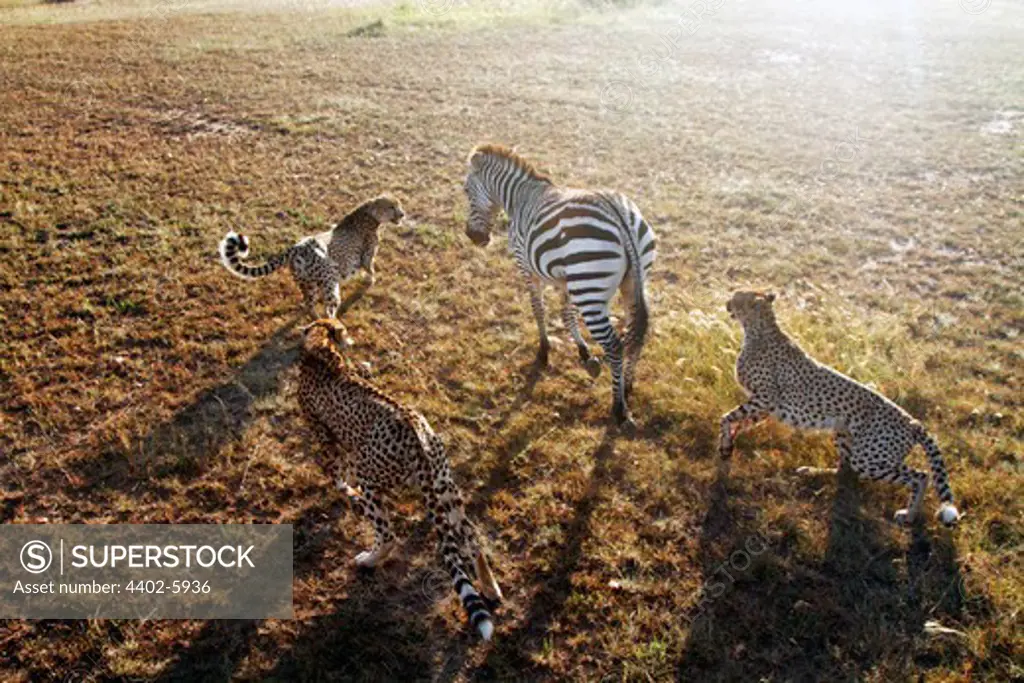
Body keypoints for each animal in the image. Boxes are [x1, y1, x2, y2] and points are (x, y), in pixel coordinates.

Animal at [217, 194, 403, 317]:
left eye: (398, 205)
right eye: (391, 206)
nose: (402, 214)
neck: (370, 215)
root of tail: (297, 247)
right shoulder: (366, 257)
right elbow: (370, 269)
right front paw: (371, 281)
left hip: (307, 283)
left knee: (309, 305)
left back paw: (317, 321)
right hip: (329, 281)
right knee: (329, 308)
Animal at [296, 317, 503, 638]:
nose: (351, 341)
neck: (323, 348)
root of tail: (416, 433)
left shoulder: (326, 438)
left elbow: (337, 473)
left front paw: (346, 491)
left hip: (372, 478)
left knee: (388, 534)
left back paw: (369, 559)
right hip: (445, 488)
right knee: (471, 536)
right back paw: (490, 587)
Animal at [462, 144, 655, 428]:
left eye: (466, 191)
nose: (473, 237)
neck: (519, 196)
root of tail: (618, 215)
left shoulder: (527, 268)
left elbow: (538, 308)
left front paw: (544, 351)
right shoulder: (566, 278)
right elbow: (566, 314)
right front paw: (584, 354)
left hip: (590, 291)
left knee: (614, 345)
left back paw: (619, 408)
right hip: (631, 282)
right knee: (635, 335)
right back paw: (627, 388)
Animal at [720, 290, 958, 528]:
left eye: (737, 297)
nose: (727, 303)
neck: (758, 329)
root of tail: (913, 421)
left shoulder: (766, 398)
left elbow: (727, 417)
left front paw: (724, 445)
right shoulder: (764, 405)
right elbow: (738, 421)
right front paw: (728, 444)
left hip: (867, 458)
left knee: (921, 475)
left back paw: (908, 515)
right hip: (844, 433)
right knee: (845, 471)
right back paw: (811, 471)